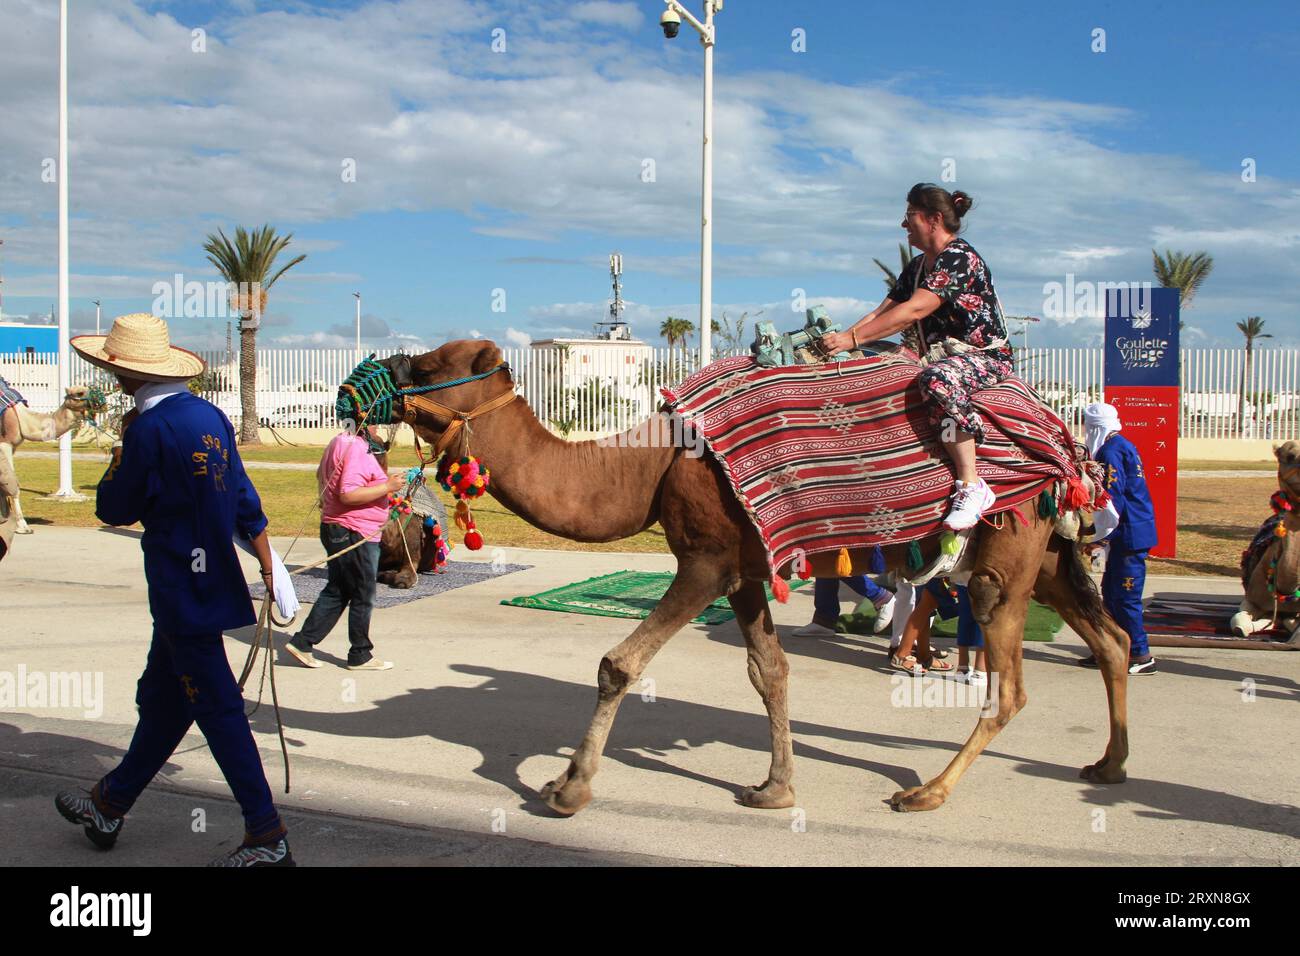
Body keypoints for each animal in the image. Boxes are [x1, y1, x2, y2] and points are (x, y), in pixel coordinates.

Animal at [0, 390, 96, 538]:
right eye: (78, 395)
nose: (96, 403)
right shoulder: (5, 444)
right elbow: (13, 485)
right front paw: (23, 527)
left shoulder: (13, 447)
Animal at [374, 343, 1128, 816]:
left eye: (431, 363)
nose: (373, 375)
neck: (648, 468)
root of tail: (1065, 444)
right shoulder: (742, 569)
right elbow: (770, 672)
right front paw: (776, 787)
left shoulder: (705, 560)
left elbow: (619, 663)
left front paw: (569, 787)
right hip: (1046, 554)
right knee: (1111, 641)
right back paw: (1109, 765)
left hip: (1005, 558)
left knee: (1012, 687)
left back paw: (926, 793)